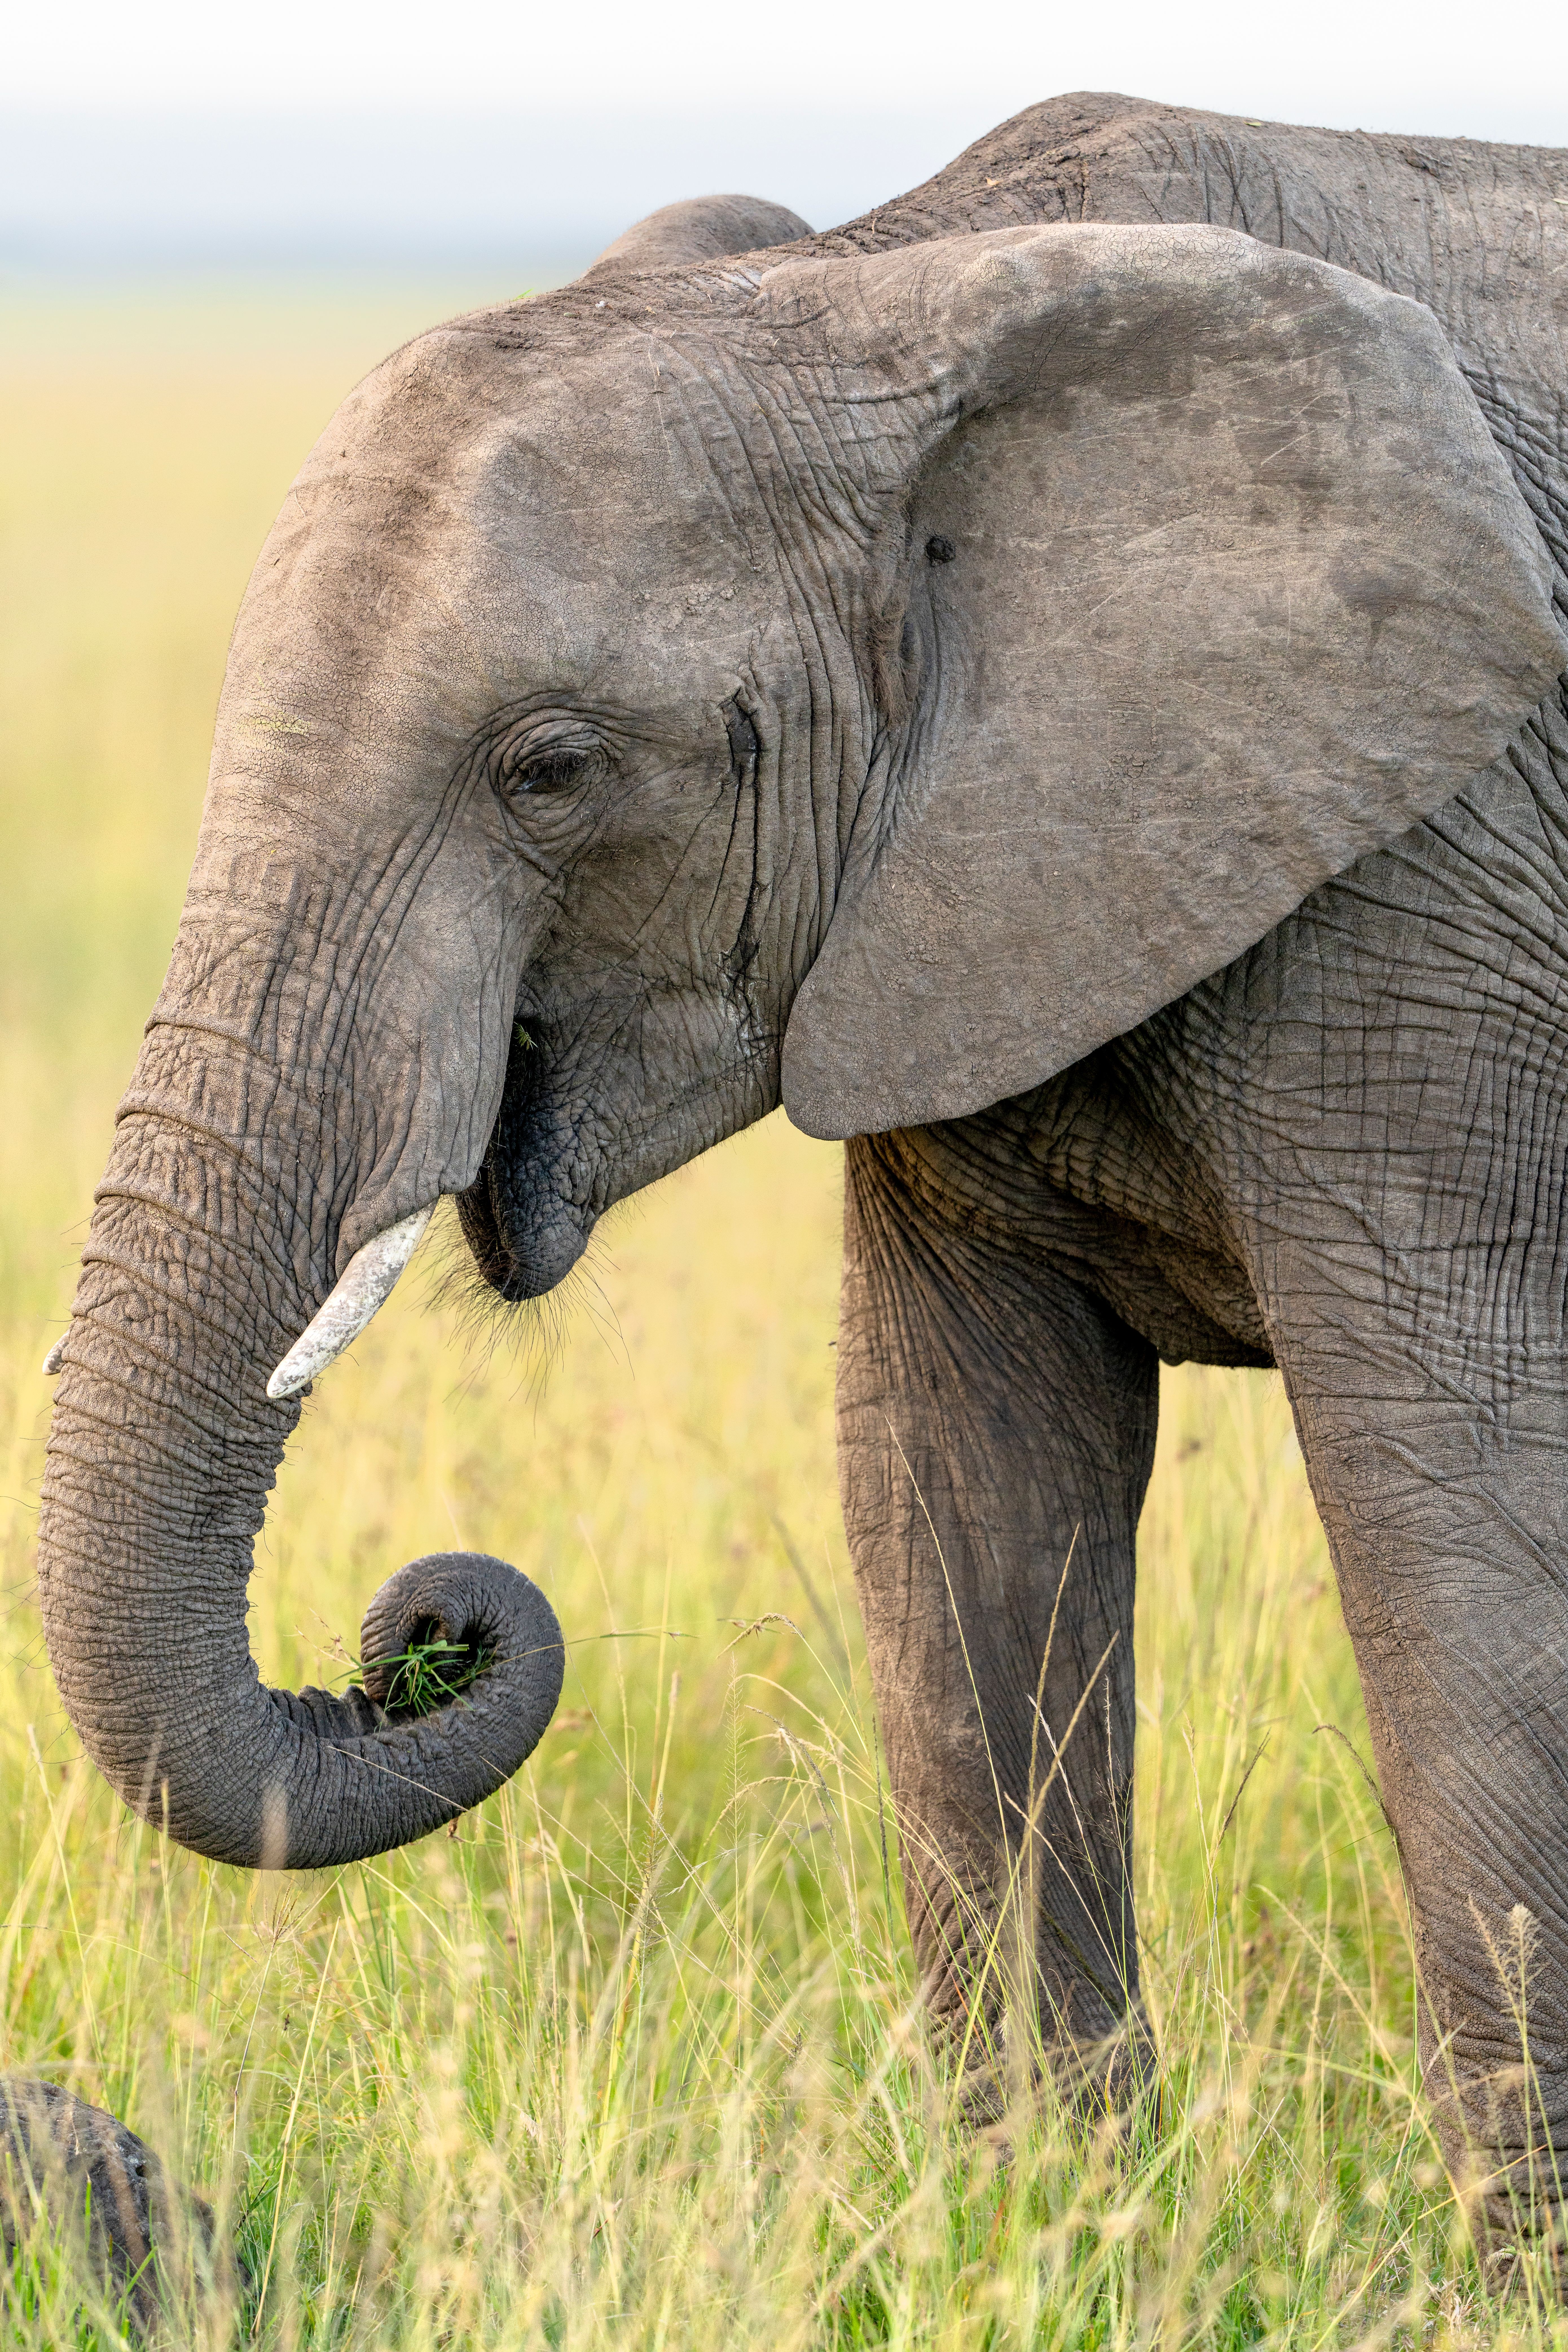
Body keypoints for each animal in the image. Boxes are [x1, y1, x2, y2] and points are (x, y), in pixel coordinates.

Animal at [36, 91, 1568, 2259]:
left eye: (549, 767)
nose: (416, 1629)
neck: (882, 283)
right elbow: (951, 1497)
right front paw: (1050, 2237)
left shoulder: (1432, 891)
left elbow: (1453, 1513)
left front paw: (1502, 2276)